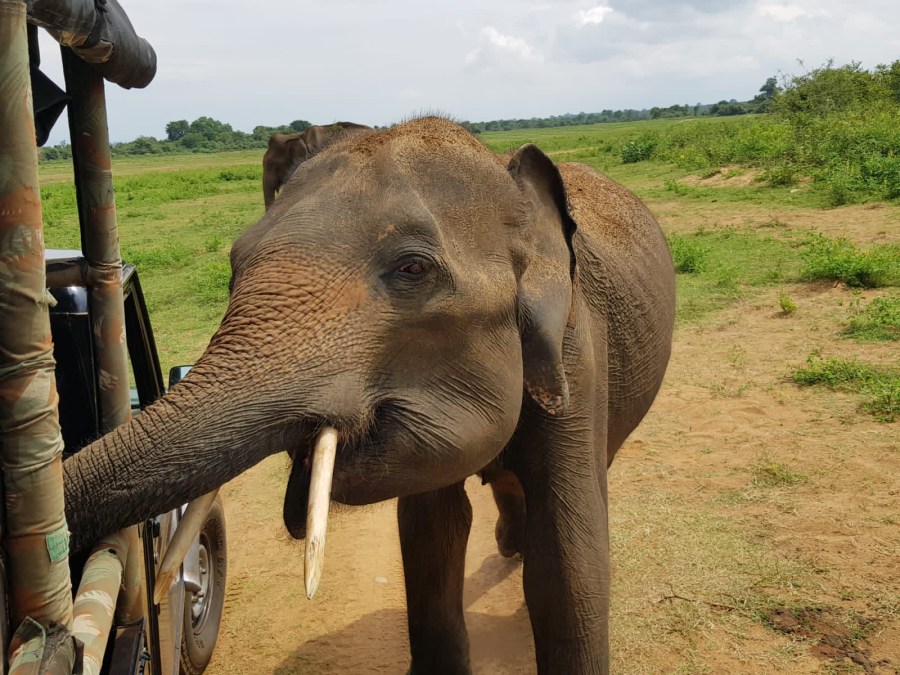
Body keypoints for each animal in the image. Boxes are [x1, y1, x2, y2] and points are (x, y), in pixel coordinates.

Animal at [63, 116, 676, 674]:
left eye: (413, 268)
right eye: (235, 266)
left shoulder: (576, 361)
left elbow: (568, 561)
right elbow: (431, 533)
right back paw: (509, 542)